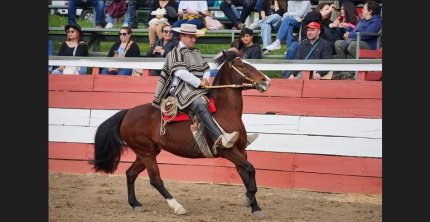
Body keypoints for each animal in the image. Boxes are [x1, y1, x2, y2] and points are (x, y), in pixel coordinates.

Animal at [91, 49, 270, 219]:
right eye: (241, 66)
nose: (266, 80)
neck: (225, 111)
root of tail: (127, 113)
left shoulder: (241, 151)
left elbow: (246, 175)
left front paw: (256, 208)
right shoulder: (228, 151)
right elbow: (250, 170)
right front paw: (247, 199)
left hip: (147, 152)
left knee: (130, 174)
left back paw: (135, 204)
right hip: (146, 152)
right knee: (155, 179)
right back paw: (177, 207)